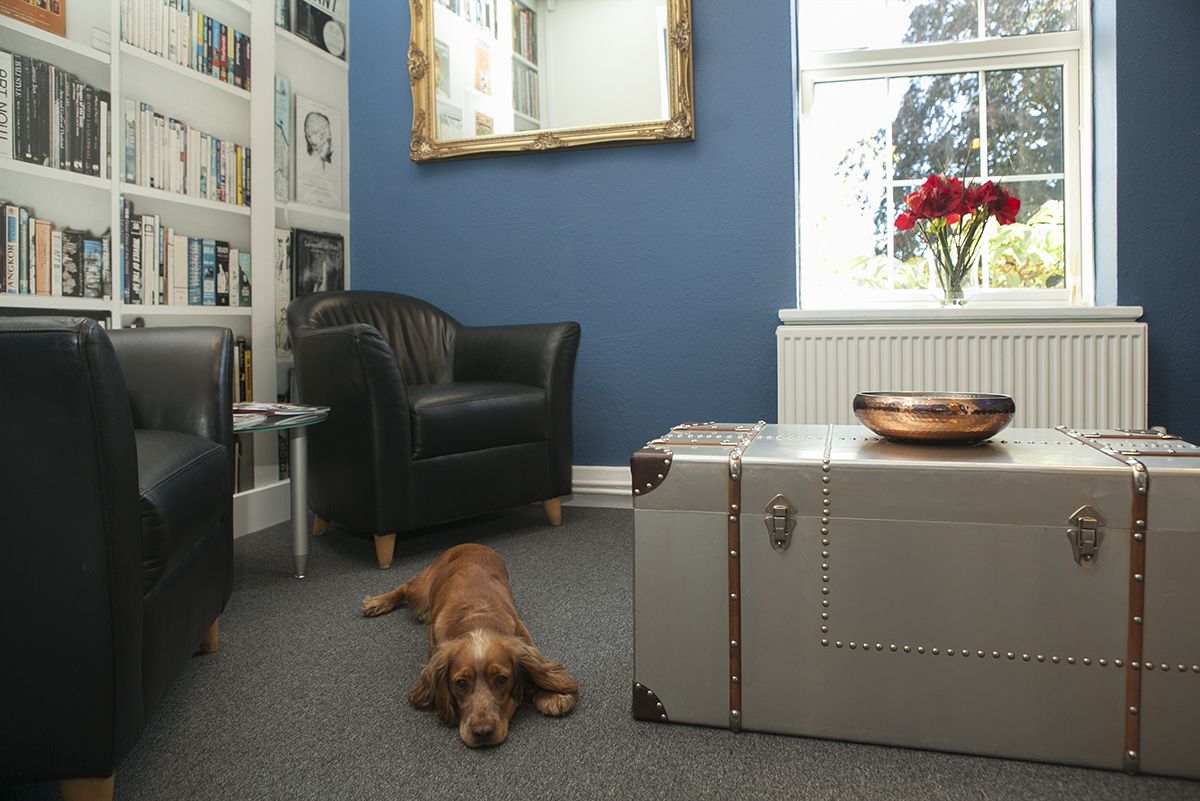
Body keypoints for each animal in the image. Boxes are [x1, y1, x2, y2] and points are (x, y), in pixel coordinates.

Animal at [360, 541, 576, 748]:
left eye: (501, 679)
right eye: (461, 683)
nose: (482, 732)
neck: (476, 617)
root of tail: (471, 543)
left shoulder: (525, 640)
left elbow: (541, 669)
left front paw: (551, 695)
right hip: (420, 590)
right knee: (405, 587)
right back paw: (378, 602)